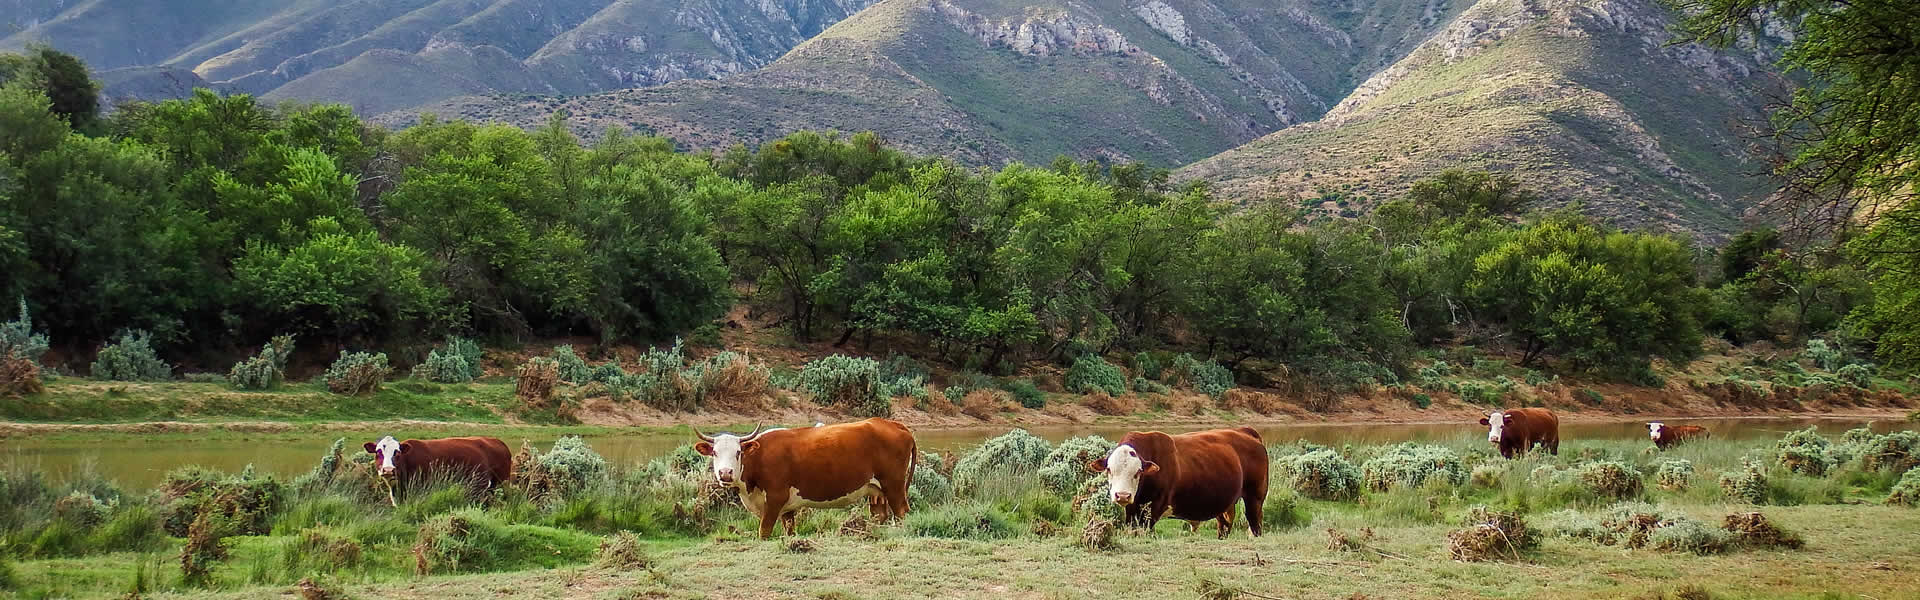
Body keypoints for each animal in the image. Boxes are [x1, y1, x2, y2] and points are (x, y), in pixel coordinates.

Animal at [695, 417, 917, 538]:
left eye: (738, 452)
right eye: (714, 453)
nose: (725, 473)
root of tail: (894, 424)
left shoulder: (775, 499)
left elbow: (764, 532)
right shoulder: (787, 509)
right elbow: (789, 530)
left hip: (894, 486)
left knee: (902, 512)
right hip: (876, 491)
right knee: (880, 515)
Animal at [1090, 426, 1267, 538]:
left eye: (1138, 472)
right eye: (1109, 469)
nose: (1122, 496)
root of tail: (1245, 431)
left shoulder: (1154, 508)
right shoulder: (1132, 510)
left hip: (1255, 498)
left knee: (1255, 524)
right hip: (1224, 504)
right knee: (1224, 524)